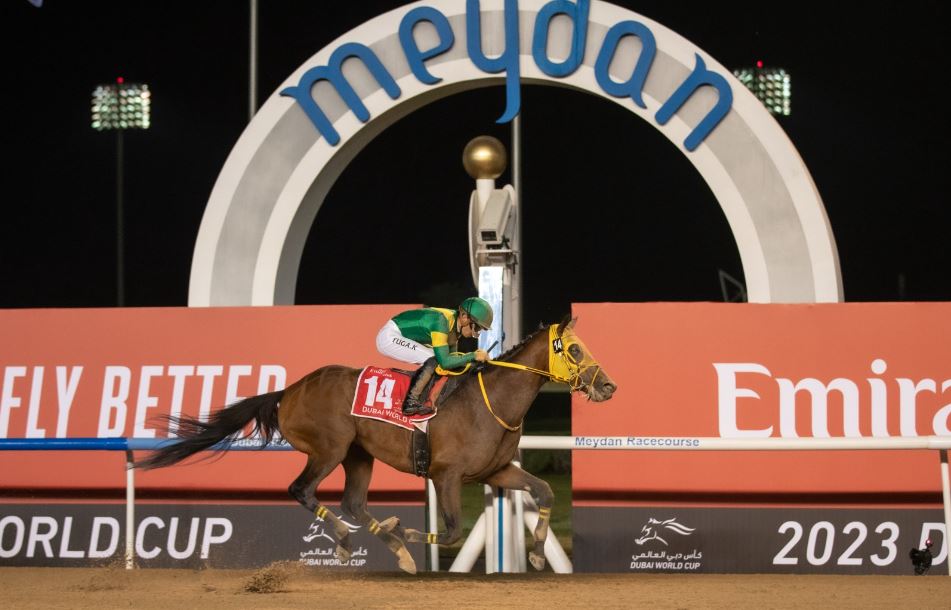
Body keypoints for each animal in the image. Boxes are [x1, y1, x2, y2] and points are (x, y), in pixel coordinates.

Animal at [136, 316, 617, 573]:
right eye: (574, 349)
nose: (608, 385)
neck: (491, 402)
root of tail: (290, 390)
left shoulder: (496, 470)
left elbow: (544, 492)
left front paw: (536, 554)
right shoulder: (445, 475)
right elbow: (452, 530)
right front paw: (409, 531)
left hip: (358, 456)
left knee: (353, 502)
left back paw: (395, 549)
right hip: (328, 449)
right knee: (302, 490)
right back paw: (351, 540)